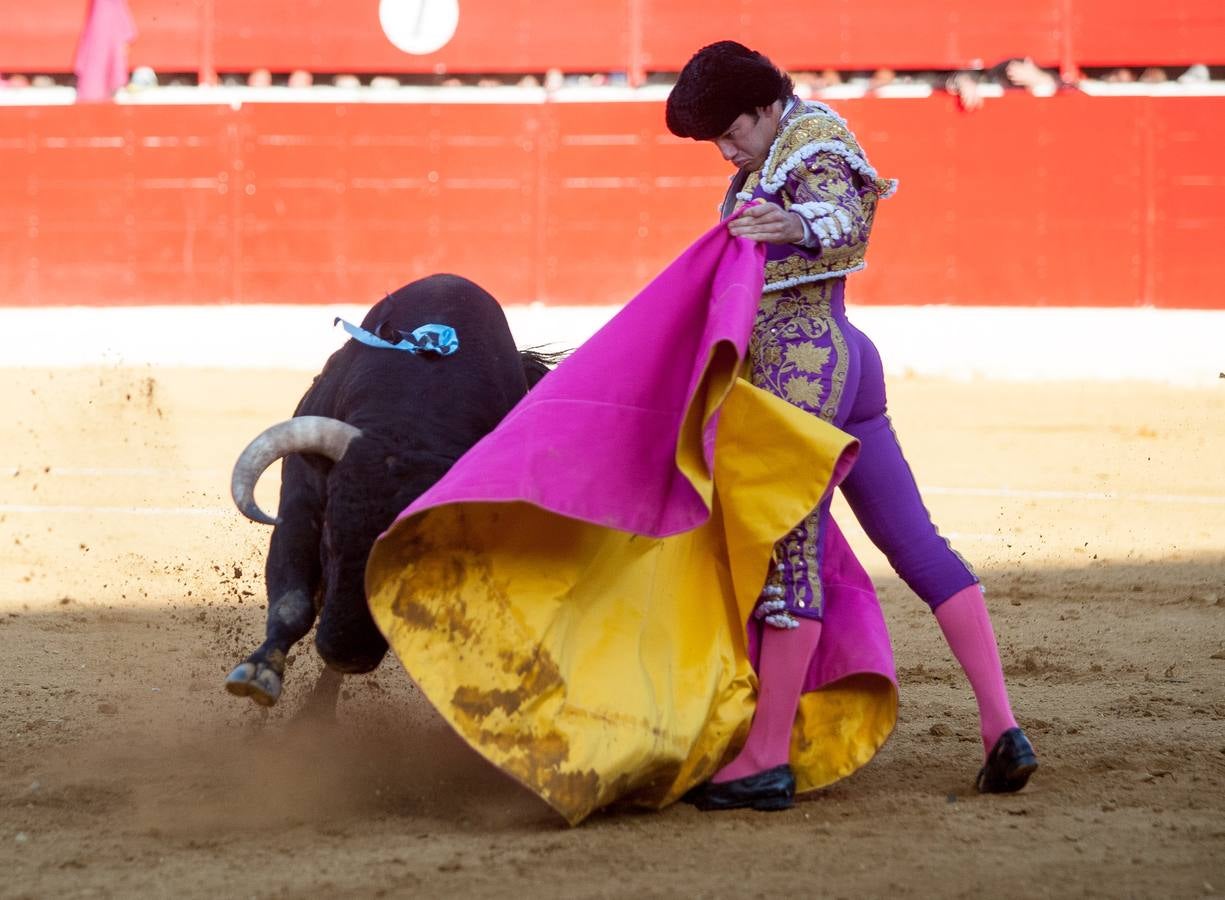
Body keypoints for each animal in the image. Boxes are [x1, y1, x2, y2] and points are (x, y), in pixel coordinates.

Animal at [226, 273, 556, 705]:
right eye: (329, 535)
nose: (346, 653)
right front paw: (258, 673)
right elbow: (292, 600)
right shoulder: (301, 502)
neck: (411, 415)